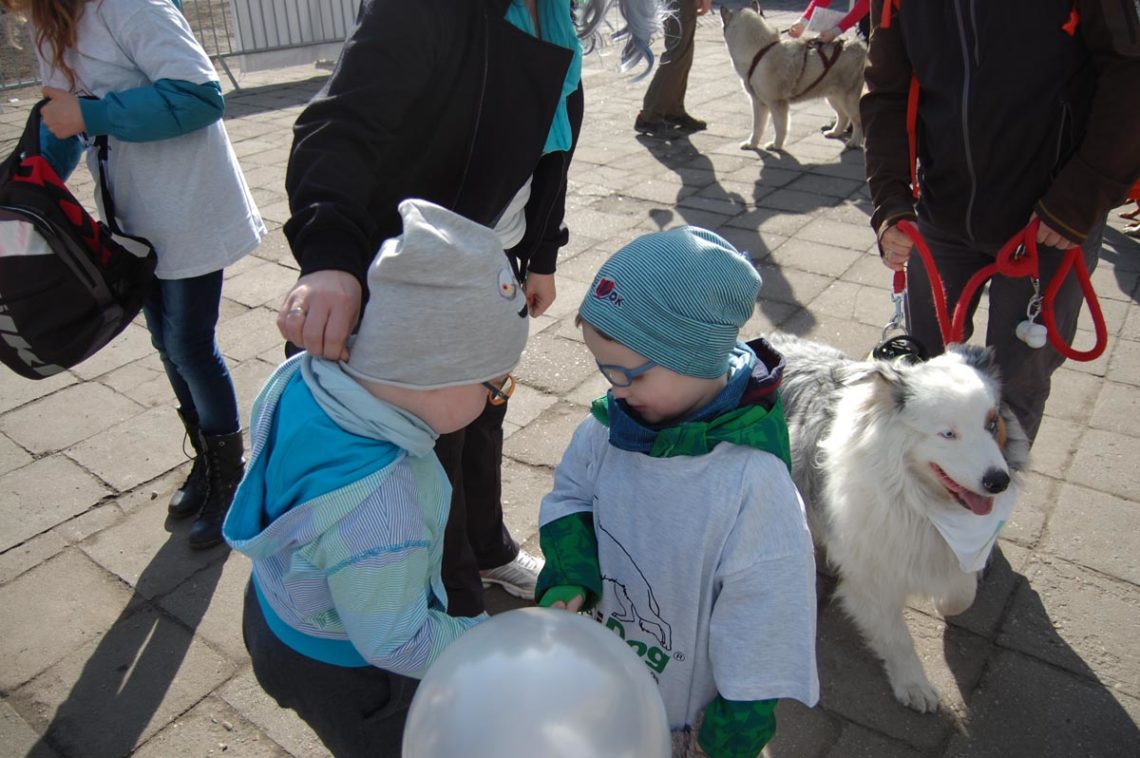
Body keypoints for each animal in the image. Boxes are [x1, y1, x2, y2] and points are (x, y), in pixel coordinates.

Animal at [720, 4, 861, 152]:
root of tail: (858, 46)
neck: (760, 52)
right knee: (843, 116)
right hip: (833, 96)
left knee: (857, 119)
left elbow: (780, 127)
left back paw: (855, 141)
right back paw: (834, 132)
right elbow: (757, 126)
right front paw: (752, 144)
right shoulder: (758, 102)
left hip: (847, 98)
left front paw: (776, 145)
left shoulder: (777, 104)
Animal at [770, 335, 1030, 711]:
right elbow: (897, 638)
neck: (918, 500)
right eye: (948, 434)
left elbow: (962, 591)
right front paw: (914, 685)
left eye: (992, 424)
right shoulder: (872, 571)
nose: (998, 481)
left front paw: (946, 601)